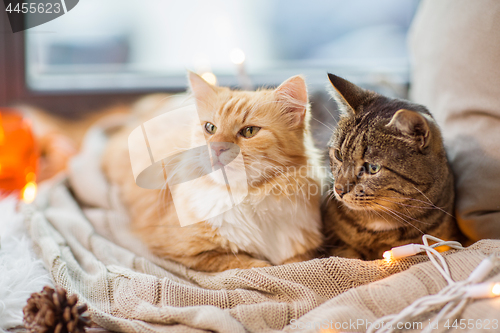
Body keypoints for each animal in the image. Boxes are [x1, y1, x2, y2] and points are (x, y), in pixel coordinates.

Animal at [103, 71, 326, 272]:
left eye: (249, 131)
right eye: (210, 128)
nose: (217, 148)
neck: (249, 199)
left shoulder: (300, 249)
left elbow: (295, 264)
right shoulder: (181, 248)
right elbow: (246, 263)